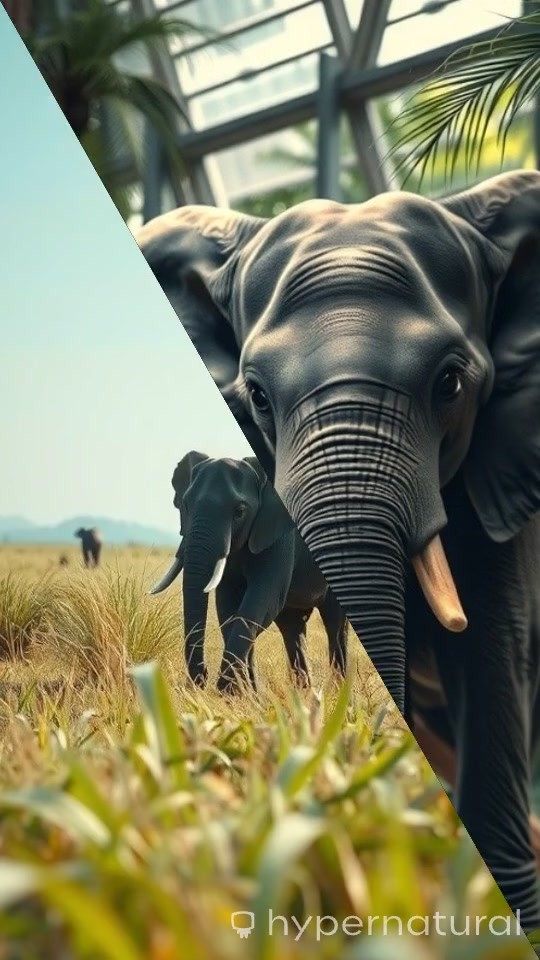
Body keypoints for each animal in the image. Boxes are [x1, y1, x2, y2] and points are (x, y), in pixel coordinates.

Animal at [150, 450, 348, 690]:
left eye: (240, 512)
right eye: (185, 505)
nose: (201, 678)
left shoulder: (280, 534)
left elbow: (261, 601)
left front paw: (227, 691)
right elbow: (229, 608)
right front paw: (247, 693)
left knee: (334, 623)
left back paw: (337, 692)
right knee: (292, 626)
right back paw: (305, 693)